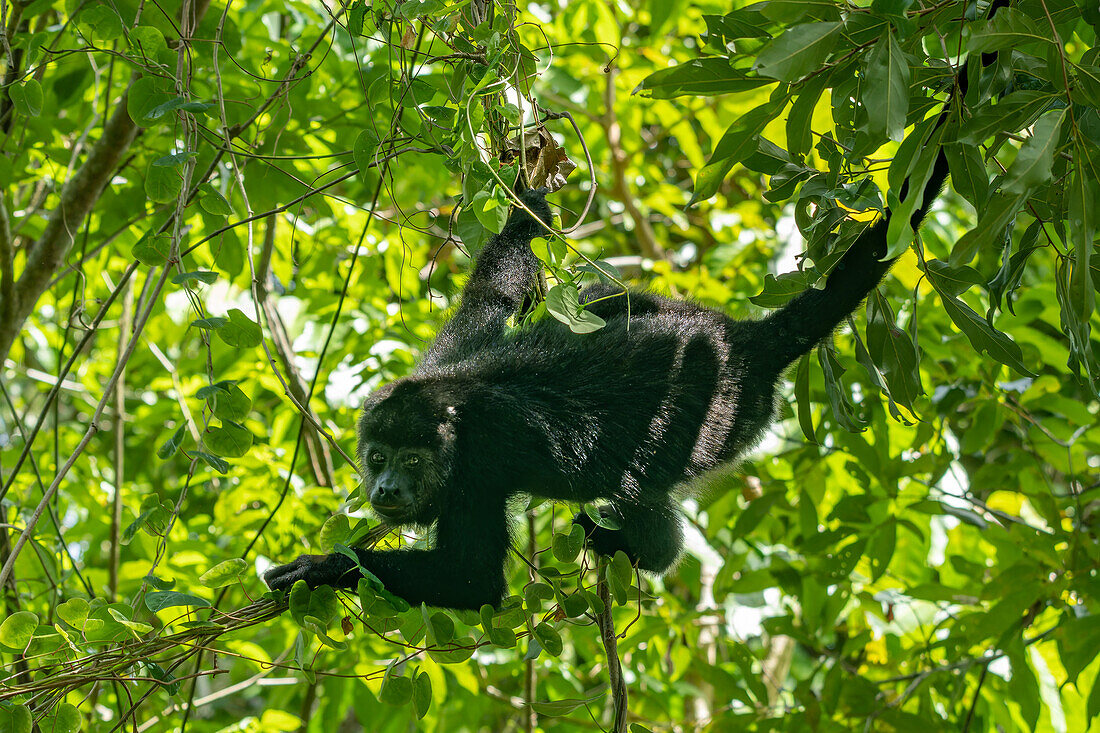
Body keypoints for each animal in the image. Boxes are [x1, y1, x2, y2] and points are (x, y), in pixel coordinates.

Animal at [266, 9, 1007, 611]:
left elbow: (473, 581)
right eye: (376, 455)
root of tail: (743, 342)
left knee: (642, 489)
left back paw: (635, 544)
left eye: (412, 463)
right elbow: (492, 296)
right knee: (607, 305)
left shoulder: (482, 457)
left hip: (715, 423)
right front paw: (526, 205)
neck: (452, 407)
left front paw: (323, 566)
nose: (386, 490)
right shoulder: (446, 353)